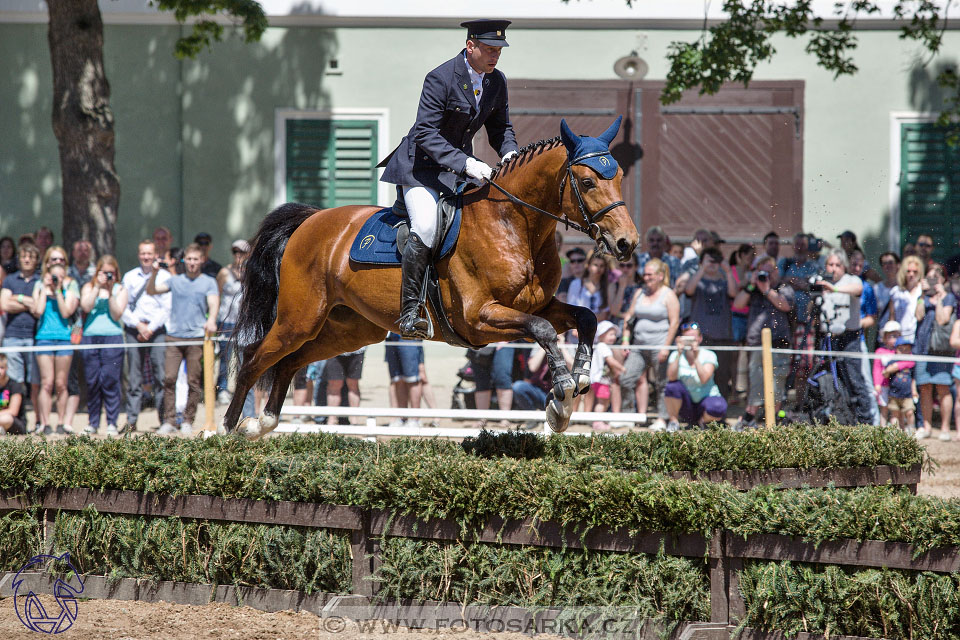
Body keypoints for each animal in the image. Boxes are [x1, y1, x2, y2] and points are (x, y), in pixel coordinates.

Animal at [223, 117, 636, 438]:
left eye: (620, 177)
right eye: (587, 183)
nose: (626, 243)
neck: (515, 225)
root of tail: (310, 219)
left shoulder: (540, 305)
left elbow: (586, 317)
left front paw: (578, 380)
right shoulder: (479, 318)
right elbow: (544, 331)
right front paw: (562, 397)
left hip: (349, 329)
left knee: (290, 362)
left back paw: (261, 423)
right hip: (299, 318)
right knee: (254, 356)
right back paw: (229, 427)